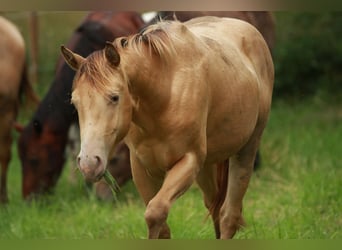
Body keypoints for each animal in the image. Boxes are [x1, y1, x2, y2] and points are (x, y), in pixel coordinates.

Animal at [62, 16, 276, 239]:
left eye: (114, 97)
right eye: (75, 103)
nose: (88, 164)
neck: (164, 94)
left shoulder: (188, 161)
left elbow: (155, 213)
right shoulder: (142, 168)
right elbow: (161, 226)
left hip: (246, 151)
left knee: (228, 216)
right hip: (207, 165)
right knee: (214, 206)